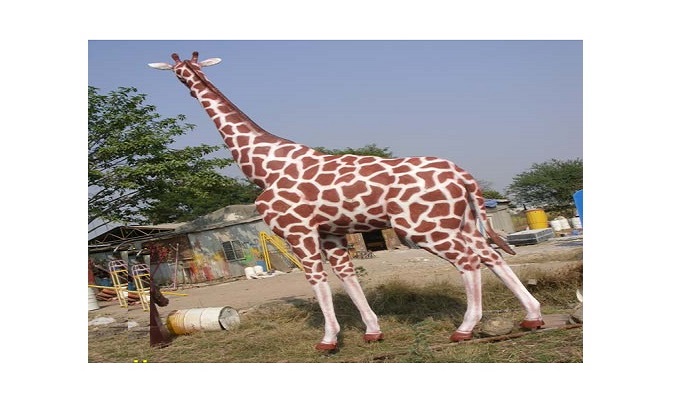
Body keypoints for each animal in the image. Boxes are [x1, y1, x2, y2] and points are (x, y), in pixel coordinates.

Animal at [149, 52, 544, 351]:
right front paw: (372, 332)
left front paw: (328, 340)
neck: (263, 166)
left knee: (468, 261)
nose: (189, 81)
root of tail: (465, 176)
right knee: (490, 255)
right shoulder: (332, 233)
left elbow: (317, 281)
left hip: (424, 228)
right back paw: (532, 317)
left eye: (180, 70)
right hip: (461, 222)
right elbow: (347, 278)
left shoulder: (299, 231)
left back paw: (464, 329)